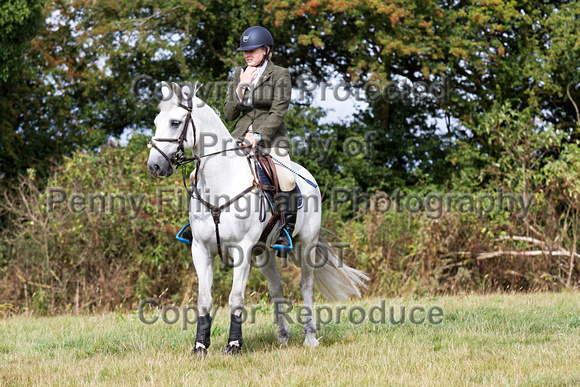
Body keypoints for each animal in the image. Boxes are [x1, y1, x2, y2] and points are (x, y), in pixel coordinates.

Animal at [147, 83, 370, 356]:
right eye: (156, 122)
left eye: (175, 122)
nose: (155, 166)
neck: (221, 183)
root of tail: (308, 176)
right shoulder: (200, 249)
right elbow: (203, 299)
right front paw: (200, 346)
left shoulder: (242, 250)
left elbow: (235, 298)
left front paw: (233, 345)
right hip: (263, 252)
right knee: (277, 288)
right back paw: (283, 337)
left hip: (306, 245)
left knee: (306, 286)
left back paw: (310, 337)